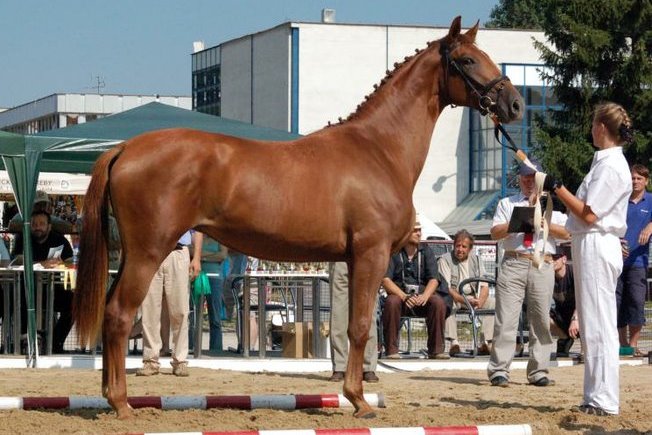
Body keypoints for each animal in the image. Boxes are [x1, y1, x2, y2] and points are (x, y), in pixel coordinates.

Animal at [74, 16, 524, 418]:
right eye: (467, 60)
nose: (516, 104)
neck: (379, 148)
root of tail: (125, 148)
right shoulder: (372, 254)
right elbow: (362, 326)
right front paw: (358, 401)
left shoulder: (354, 260)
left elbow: (355, 326)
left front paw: (354, 394)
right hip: (149, 252)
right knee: (118, 315)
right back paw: (122, 404)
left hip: (132, 254)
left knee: (111, 312)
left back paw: (109, 397)